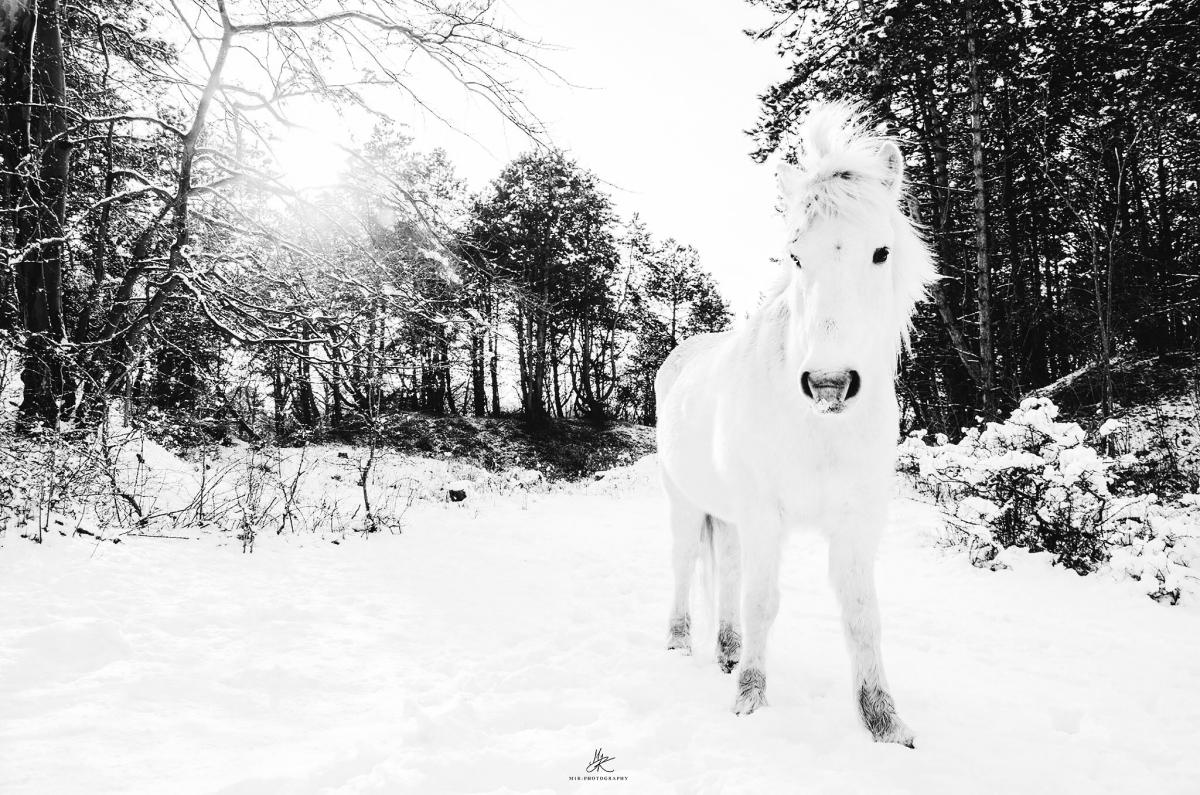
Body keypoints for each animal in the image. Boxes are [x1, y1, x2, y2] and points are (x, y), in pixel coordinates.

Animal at [654, 102, 937, 747]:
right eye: (795, 255)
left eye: (881, 252)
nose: (829, 384)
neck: (818, 427)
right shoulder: (765, 511)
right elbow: (763, 600)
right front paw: (750, 700)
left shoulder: (858, 520)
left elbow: (861, 616)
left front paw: (885, 723)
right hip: (685, 501)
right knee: (685, 565)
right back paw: (681, 642)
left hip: (728, 512)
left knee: (727, 573)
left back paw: (728, 652)